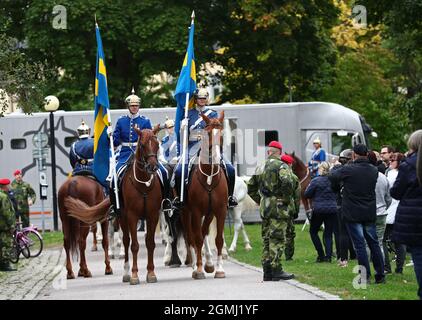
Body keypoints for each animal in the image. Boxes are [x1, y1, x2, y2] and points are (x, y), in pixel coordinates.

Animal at [64, 125, 162, 284]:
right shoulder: (131, 216)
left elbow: (150, 243)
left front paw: (151, 273)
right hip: (118, 217)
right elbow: (133, 245)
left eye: (157, 144)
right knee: (124, 241)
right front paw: (134, 275)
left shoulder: (152, 215)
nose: (153, 166)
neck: (143, 185)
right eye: (142, 145)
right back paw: (125, 272)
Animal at [180, 110, 229, 280]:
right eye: (208, 133)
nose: (216, 157)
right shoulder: (195, 211)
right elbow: (197, 239)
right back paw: (196, 266)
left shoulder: (220, 210)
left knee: (203, 231)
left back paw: (208, 263)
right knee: (191, 237)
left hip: (209, 213)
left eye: (222, 133)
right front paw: (199, 269)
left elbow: (218, 239)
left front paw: (219, 269)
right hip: (186, 213)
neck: (208, 177)